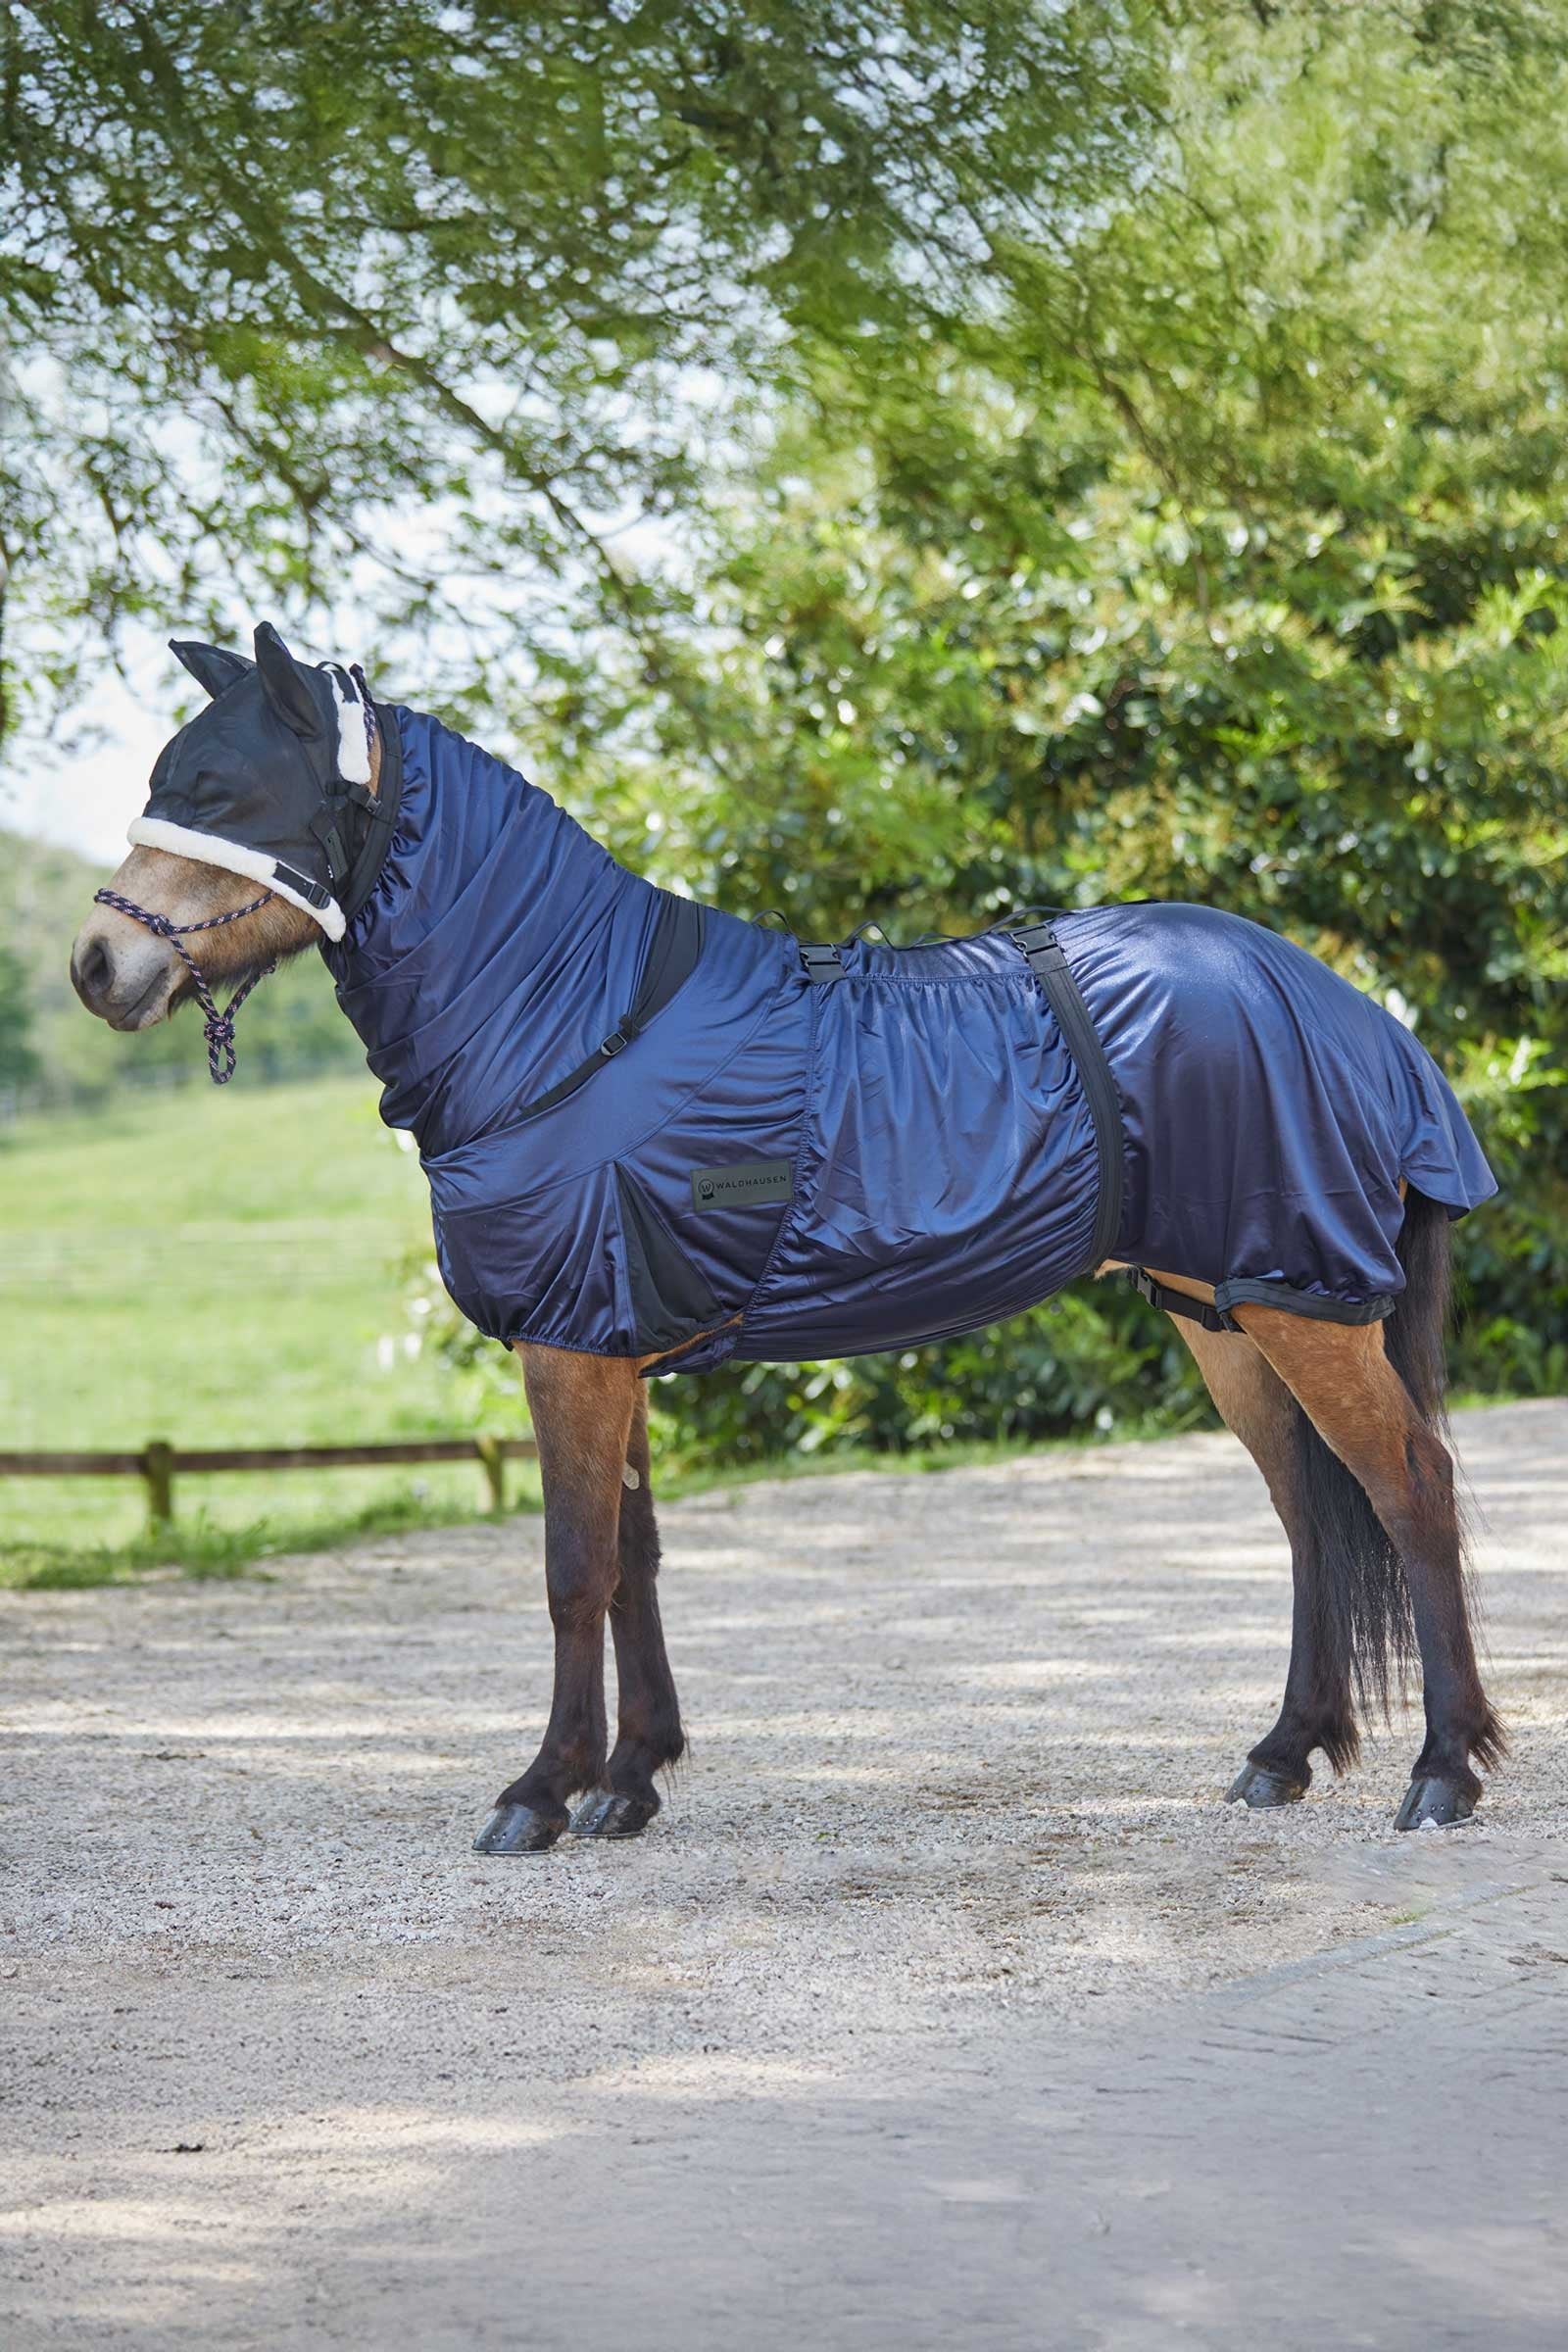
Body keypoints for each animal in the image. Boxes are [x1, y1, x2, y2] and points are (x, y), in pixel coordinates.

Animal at [70, 623, 1505, 1856]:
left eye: (223, 790)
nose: (95, 967)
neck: (573, 1021)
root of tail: (1352, 1011)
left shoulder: (565, 1347)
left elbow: (572, 1568)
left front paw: (540, 1793)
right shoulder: (609, 1342)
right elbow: (633, 1561)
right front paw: (630, 1779)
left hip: (1301, 1304)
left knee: (1410, 1489)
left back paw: (1443, 1773)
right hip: (1226, 1311)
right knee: (1310, 1515)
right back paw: (1282, 1753)